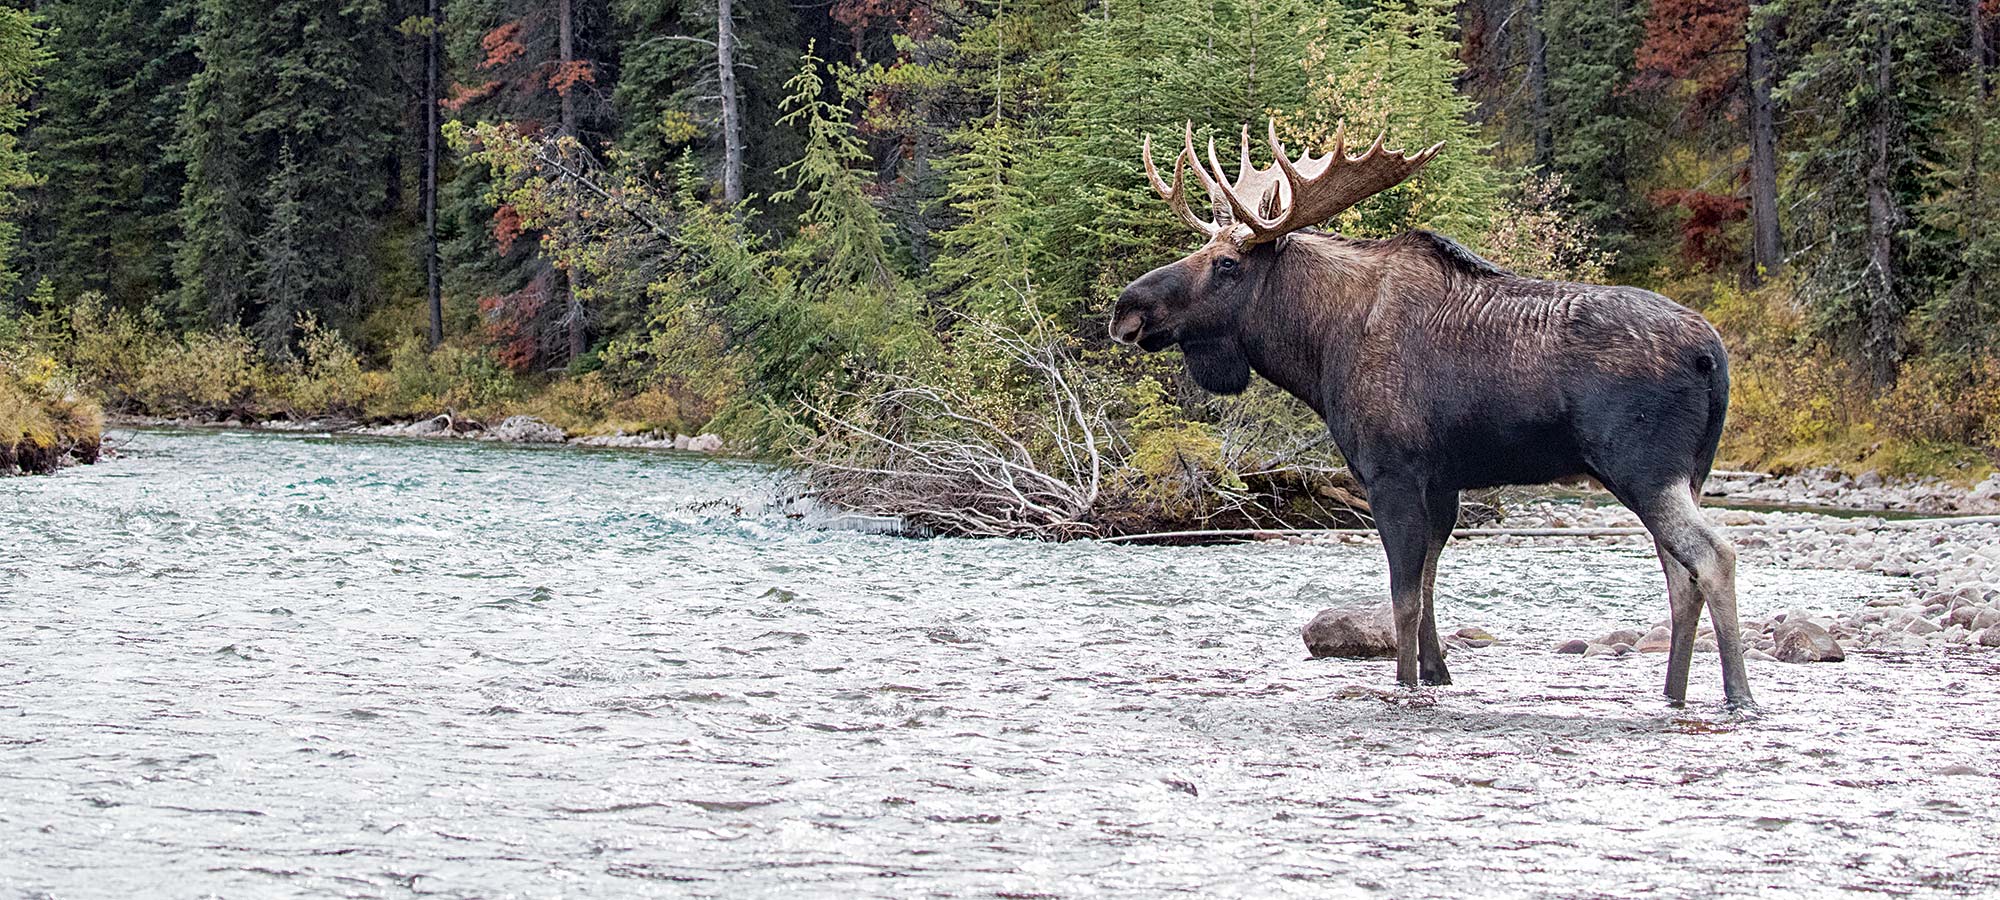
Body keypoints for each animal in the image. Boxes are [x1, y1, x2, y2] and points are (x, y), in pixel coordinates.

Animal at [1112, 121, 1752, 712]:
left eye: (1225, 264)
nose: (1126, 310)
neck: (1317, 348)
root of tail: (1713, 354)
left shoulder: (1389, 470)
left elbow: (1403, 595)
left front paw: (1406, 683)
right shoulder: (1443, 482)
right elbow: (1427, 588)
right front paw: (1438, 674)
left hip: (1644, 469)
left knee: (1713, 556)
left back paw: (1738, 693)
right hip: (1688, 475)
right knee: (1679, 575)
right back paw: (1673, 694)